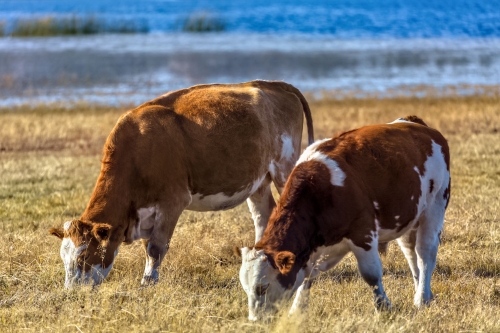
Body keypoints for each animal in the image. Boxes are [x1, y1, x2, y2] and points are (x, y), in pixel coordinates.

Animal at [47, 79, 312, 286]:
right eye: (63, 258)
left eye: (83, 257)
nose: (71, 292)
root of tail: (272, 84)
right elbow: (148, 247)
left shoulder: (172, 201)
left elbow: (155, 248)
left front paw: (147, 283)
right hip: (258, 181)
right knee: (263, 216)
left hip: (285, 167)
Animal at [236, 115, 452, 320]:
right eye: (245, 288)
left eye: (262, 287)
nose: (254, 320)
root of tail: (413, 122)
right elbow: (306, 278)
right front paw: (296, 311)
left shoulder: (362, 232)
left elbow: (371, 274)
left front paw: (383, 307)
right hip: (409, 219)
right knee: (411, 253)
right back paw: (422, 292)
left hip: (435, 206)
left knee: (425, 253)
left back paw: (422, 298)